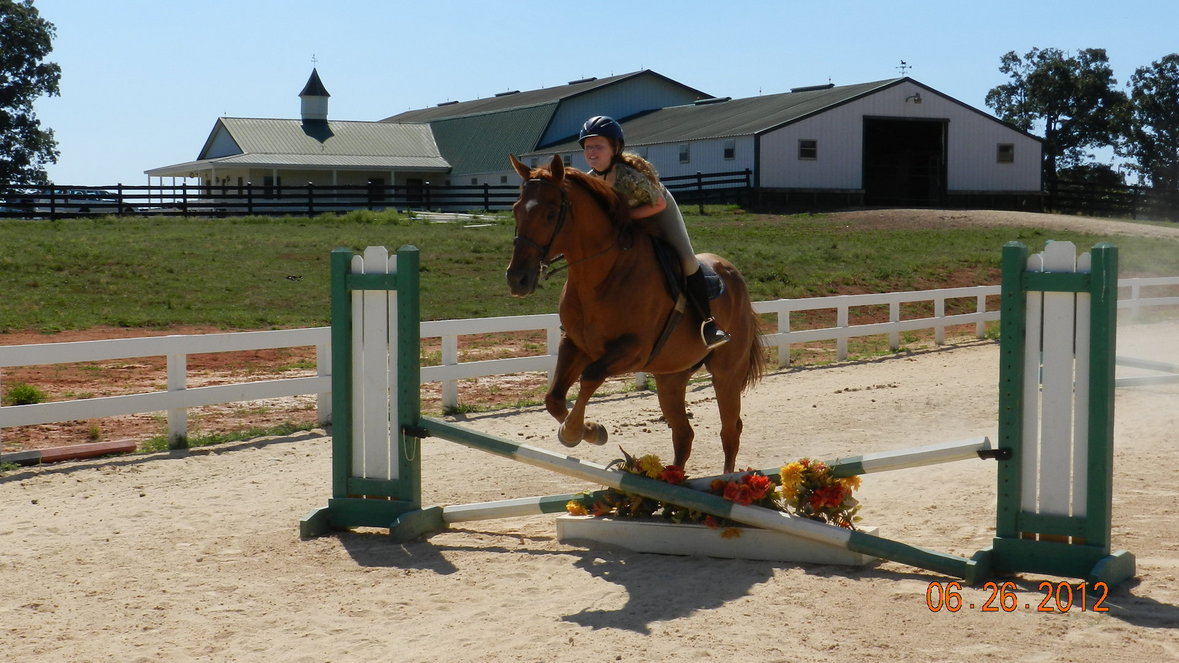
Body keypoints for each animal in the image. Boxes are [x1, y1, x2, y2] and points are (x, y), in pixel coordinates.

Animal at [505, 153, 766, 473]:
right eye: (516, 210)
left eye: (551, 214)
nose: (517, 279)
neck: (601, 275)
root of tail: (734, 275)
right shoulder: (576, 344)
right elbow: (553, 398)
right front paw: (589, 431)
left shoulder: (633, 350)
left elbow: (590, 377)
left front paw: (577, 431)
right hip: (671, 376)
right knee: (683, 434)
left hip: (726, 373)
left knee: (730, 430)